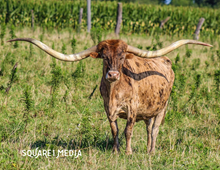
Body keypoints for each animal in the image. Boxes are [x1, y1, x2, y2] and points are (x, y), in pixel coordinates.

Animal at [8, 38, 211, 154]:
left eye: (122, 56)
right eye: (104, 56)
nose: (112, 74)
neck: (114, 91)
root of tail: (165, 60)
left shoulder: (132, 109)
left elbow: (128, 130)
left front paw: (128, 152)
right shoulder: (108, 109)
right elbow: (114, 130)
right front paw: (115, 150)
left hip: (163, 107)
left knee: (154, 130)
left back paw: (152, 151)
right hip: (149, 111)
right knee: (148, 128)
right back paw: (147, 149)